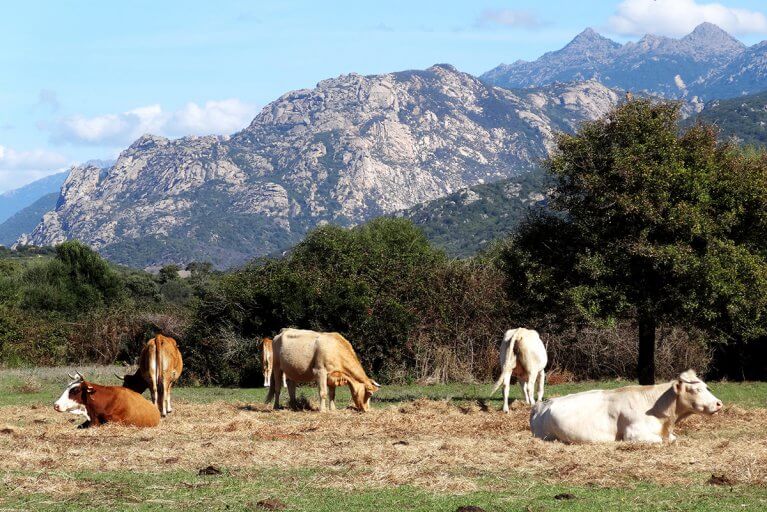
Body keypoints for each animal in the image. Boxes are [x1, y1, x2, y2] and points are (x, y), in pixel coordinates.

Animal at [529, 370, 722, 443]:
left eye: (707, 387)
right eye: (696, 389)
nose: (719, 403)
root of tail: (542, 404)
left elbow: (673, 439)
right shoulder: (633, 434)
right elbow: (660, 441)